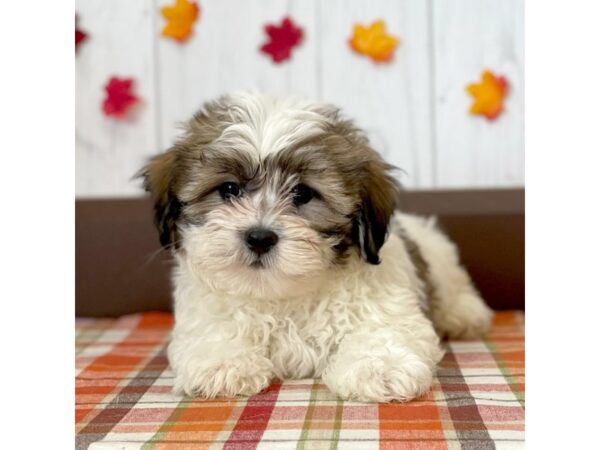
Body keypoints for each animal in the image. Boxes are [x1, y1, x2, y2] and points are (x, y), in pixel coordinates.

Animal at [139, 91, 492, 400]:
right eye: (228, 189)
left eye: (303, 194)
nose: (260, 237)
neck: (284, 296)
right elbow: (216, 331)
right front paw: (222, 363)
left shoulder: (387, 304)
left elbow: (383, 329)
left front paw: (380, 367)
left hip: (440, 258)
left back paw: (464, 315)